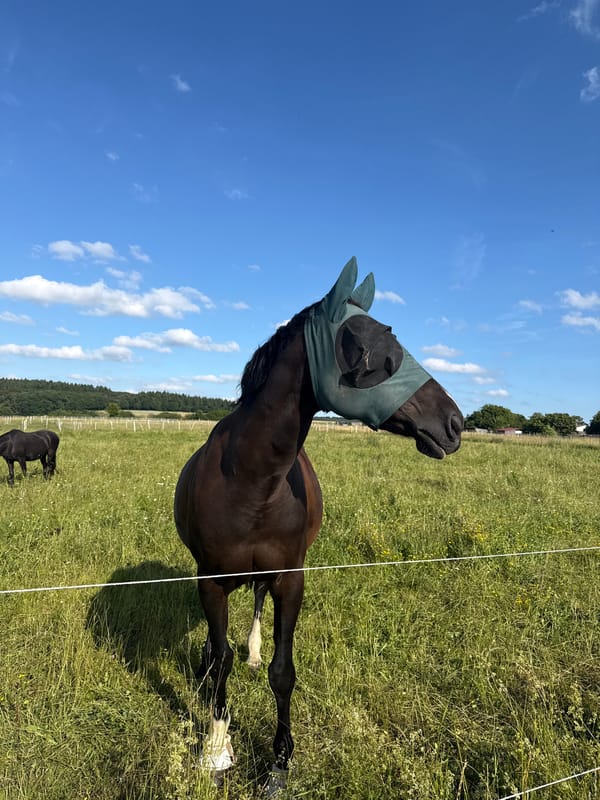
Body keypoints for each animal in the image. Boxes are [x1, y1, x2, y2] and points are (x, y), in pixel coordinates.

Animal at [174, 258, 463, 793]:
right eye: (367, 349)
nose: (454, 423)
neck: (250, 480)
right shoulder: (211, 580)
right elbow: (219, 660)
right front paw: (216, 748)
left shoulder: (291, 579)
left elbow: (282, 671)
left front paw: (279, 763)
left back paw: (252, 652)